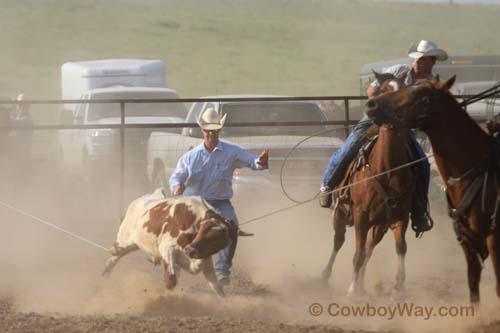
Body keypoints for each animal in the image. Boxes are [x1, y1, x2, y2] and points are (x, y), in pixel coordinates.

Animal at [324, 72, 414, 294]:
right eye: (382, 90)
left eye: (404, 90)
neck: (387, 168)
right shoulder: (360, 214)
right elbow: (356, 255)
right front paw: (352, 291)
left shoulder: (400, 216)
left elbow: (401, 247)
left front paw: (399, 288)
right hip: (341, 213)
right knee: (339, 241)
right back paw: (326, 277)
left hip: (379, 225)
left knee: (369, 249)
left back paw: (361, 285)